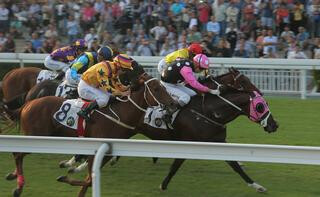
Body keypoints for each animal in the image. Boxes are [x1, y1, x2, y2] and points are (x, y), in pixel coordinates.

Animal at [5, 68, 179, 197]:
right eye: (156, 88)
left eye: (164, 87)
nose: (173, 104)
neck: (120, 113)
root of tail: (27, 104)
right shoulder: (94, 150)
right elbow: (89, 179)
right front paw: (66, 174)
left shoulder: (106, 153)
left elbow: (89, 180)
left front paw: (67, 175)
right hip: (38, 137)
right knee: (18, 155)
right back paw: (18, 187)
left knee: (17, 154)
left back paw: (14, 176)